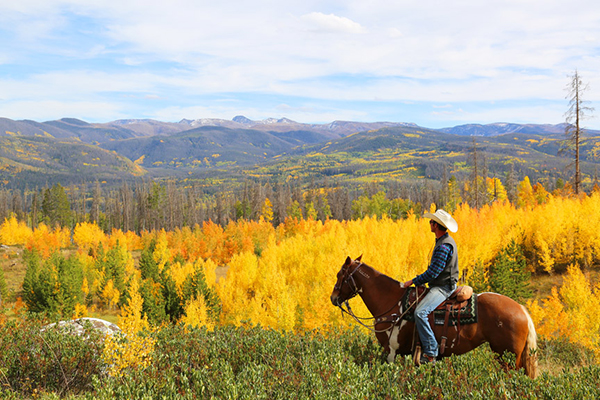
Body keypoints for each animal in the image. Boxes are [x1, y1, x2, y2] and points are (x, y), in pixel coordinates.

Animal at [332, 256, 540, 378]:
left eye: (339, 275)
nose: (333, 298)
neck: (392, 302)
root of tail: (521, 309)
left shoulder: (391, 351)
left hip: (507, 359)